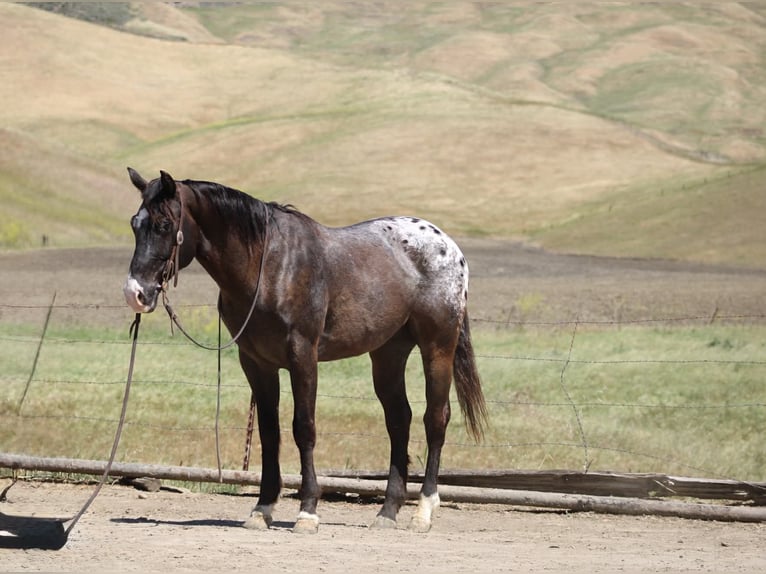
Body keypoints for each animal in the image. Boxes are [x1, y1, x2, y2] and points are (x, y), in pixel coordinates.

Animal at [123, 168, 487, 533]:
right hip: (388, 355)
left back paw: (422, 511)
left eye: (164, 224)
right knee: (399, 420)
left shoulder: (303, 356)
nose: (135, 293)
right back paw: (386, 512)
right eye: (134, 223)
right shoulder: (256, 362)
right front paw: (262, 508)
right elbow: (270, 432)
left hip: (438, 347)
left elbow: (304, 427)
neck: (269, 266)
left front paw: (308, 511)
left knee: (435, 419)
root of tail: (449, 246)